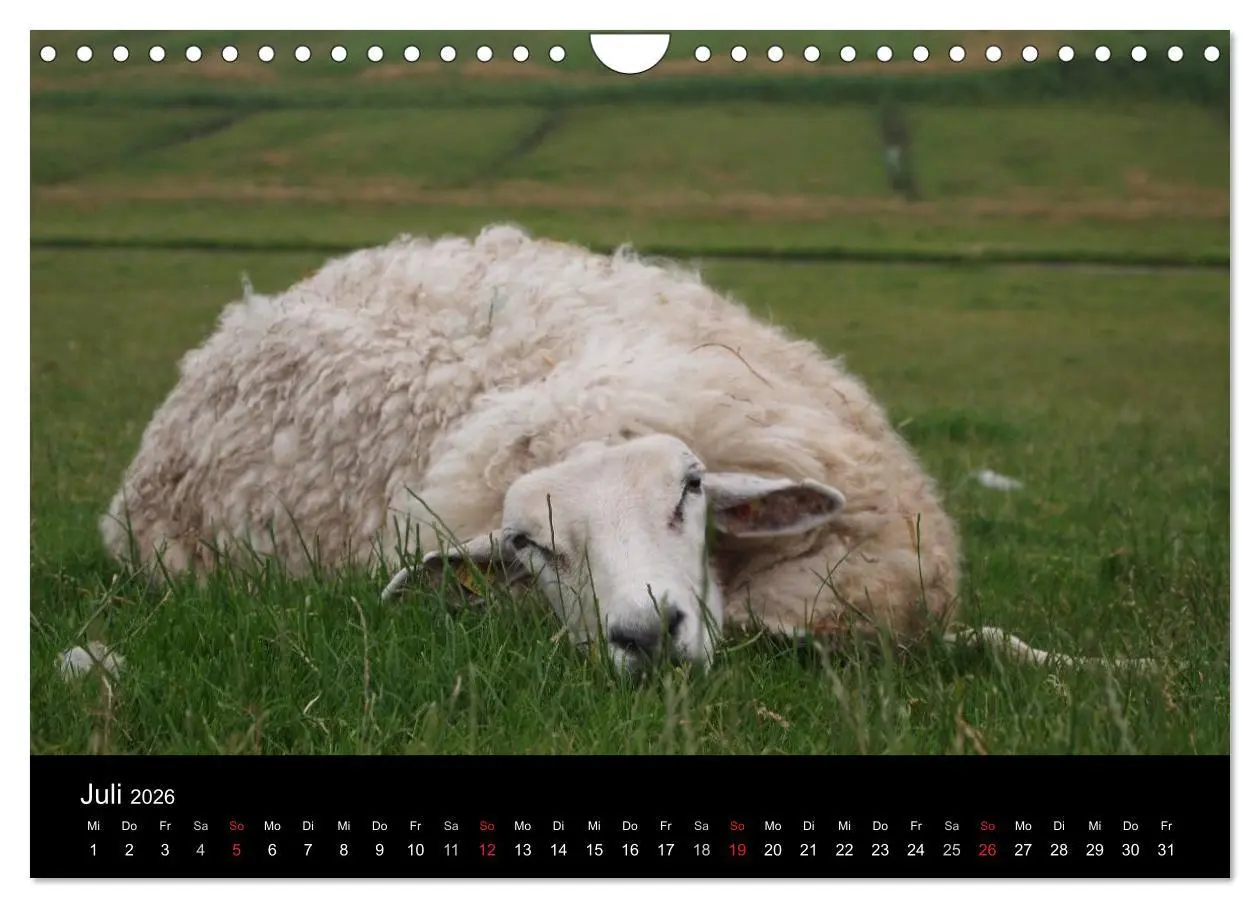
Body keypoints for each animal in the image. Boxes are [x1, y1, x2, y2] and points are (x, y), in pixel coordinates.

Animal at [101, 224, 1154, 675]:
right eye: (528, 546)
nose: (647, 635)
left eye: (691, 488)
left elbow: (996, 642)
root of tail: (241, 318)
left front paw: (1123, 670)